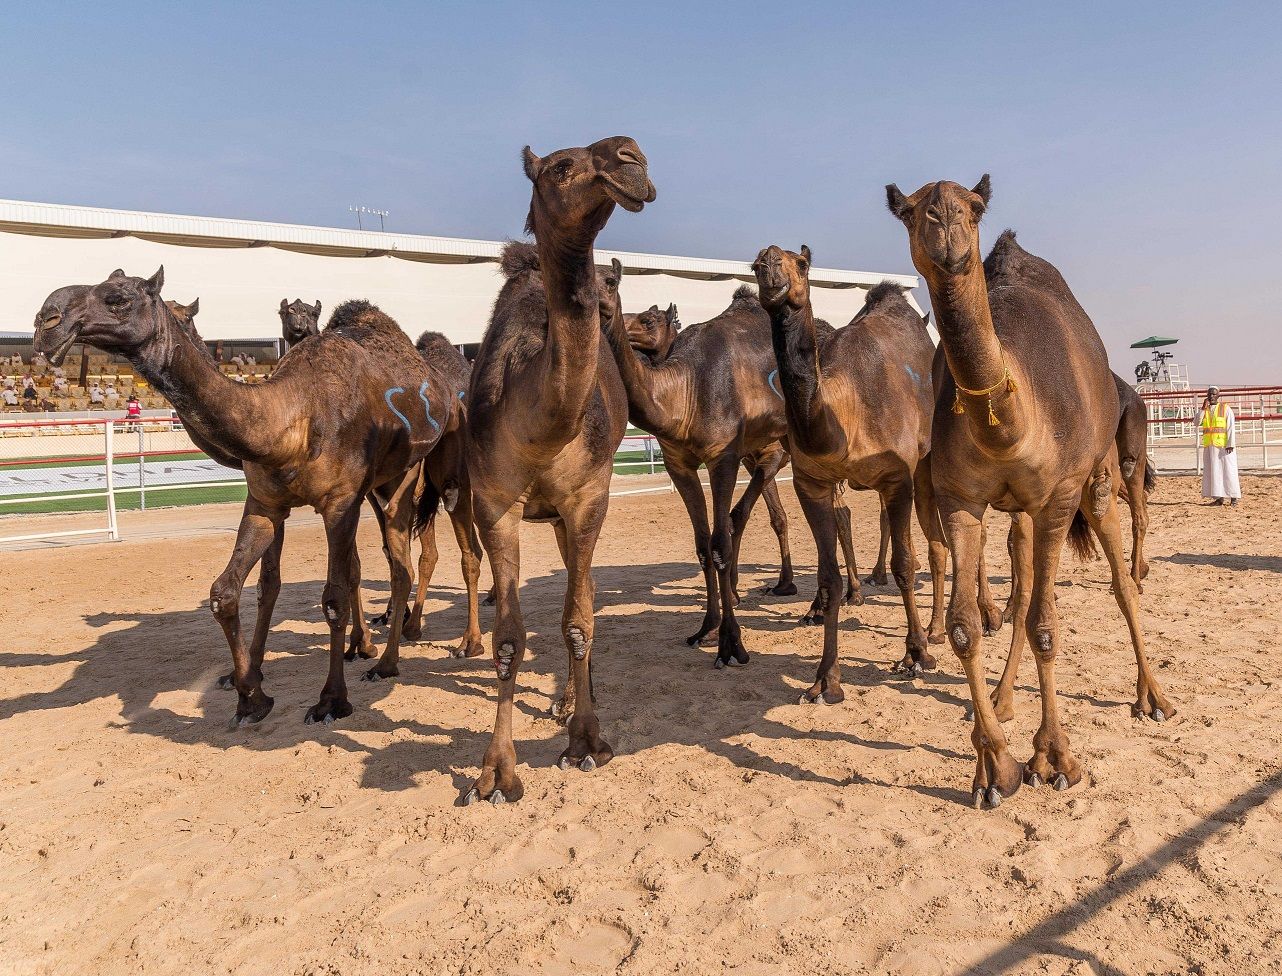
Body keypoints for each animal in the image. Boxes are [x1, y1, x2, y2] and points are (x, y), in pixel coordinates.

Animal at [35, 270, 451, 728]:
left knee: (401, 563)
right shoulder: (266, 504)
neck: (293, 418)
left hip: (406, 475)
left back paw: (388, 660)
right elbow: (234, 590)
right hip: (375, 489)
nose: (46, 321)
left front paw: (330, 700)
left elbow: (334, 596)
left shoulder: (340, 503)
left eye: (119, 297)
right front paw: (249, 692)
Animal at [464, 139, 661, 805]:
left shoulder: (588, 495)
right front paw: (496, 774)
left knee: (588, 597)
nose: (631, 159)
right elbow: (508, 640)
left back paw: (576, 702)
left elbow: (578, 620)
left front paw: (587, 742)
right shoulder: (494, 501)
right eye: (558, 167)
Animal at [748, 247, 943, 697]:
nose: (770, 267)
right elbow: (828, 576)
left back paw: (949, 627)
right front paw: (826, 679)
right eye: (755, 265)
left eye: (802, 264)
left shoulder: (898, 478)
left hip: (930, 463)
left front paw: (916, 654)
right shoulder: (812, 484)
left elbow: (904, 566)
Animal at [892, 175, 1174, 805]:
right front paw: (995, 768)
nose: (945, 223)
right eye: (910, 211)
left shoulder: (1059, 497)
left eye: (973, 208)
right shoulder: (961, 499)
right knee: (1019, 592)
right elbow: (966, 626)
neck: (1009, 427)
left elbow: (1048, 624)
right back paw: (1002, 698)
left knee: (1121, 582)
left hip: (1098, 479)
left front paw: (1055, 758)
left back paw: (1153, 696)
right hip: (1018, 512)